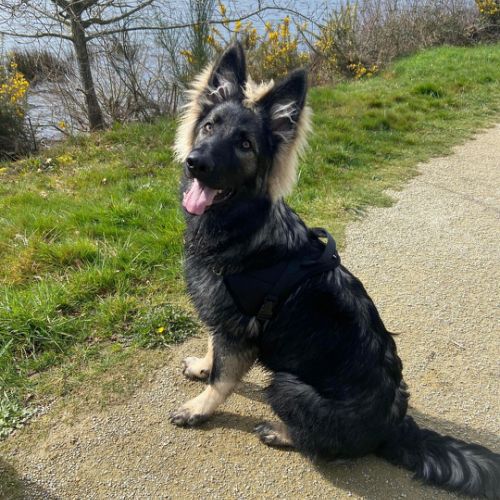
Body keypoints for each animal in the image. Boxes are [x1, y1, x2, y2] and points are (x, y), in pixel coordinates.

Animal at [169, 42, 500, 498]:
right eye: (208, 127)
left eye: (244, 144)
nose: (195, 163)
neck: (243, 224)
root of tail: (396, 425)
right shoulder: (222, 319)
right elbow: (211, 348)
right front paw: (202, 365)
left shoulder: (240, 334)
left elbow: (222, 380)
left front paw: (198, 408)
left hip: (287, 385)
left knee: (324, 447)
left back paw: (281, 433)